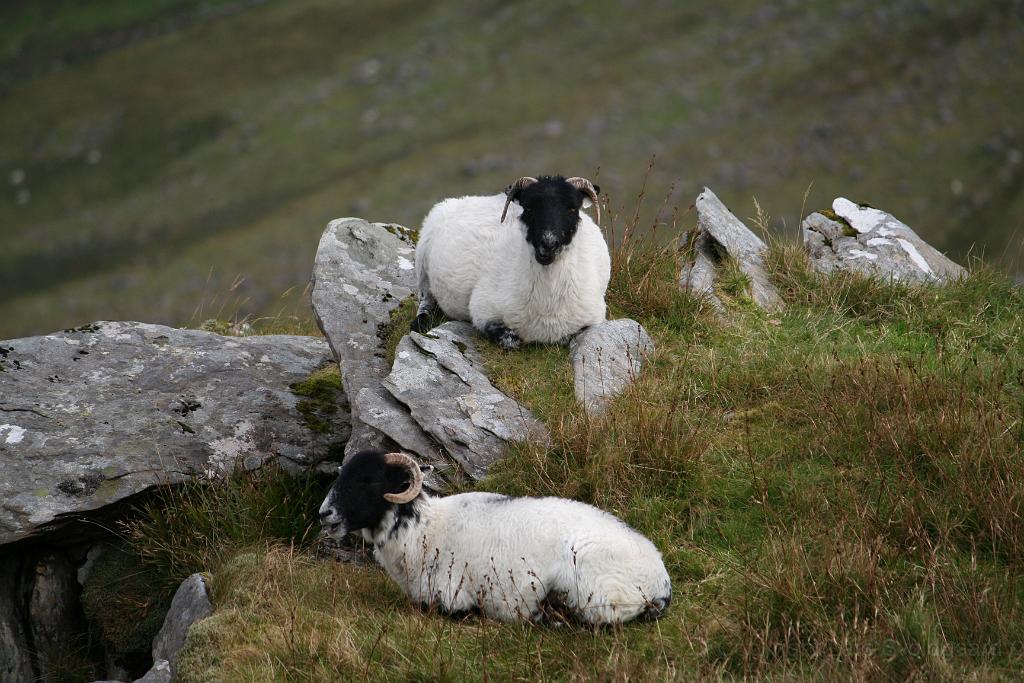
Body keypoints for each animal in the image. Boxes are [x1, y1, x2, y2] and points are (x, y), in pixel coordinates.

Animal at [319, 450, 672, 624]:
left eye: (369, 479)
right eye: (342, 473)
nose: (325, 514)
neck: (425, 530)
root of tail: (661, 582)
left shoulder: (450, 597)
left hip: (589, 587)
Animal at [412, 176, 611, 349]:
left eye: (572, 209)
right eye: (528, 208)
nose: (548, 244)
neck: (547, 302)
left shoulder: (595, 318)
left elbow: (570, 335)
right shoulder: (483, 312)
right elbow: (511, 340)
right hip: (422, 261)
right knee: (425, 299)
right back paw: (420, 323)